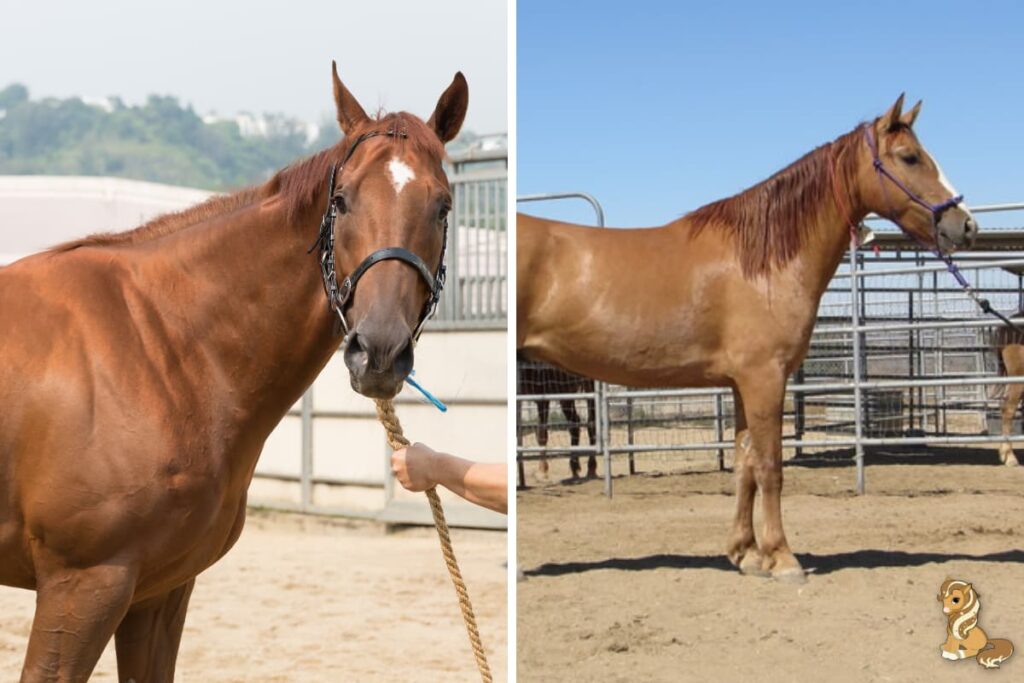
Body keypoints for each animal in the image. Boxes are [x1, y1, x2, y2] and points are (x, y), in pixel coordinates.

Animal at [0, 61, 468, 679]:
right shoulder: (81, 587)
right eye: (341, 201)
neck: (157, 345)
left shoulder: (159, 592)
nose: (380, 352)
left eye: (442, 206)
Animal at [520, 94, 974, 581]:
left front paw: (745, 553)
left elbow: (745, 466)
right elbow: (772, 465)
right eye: (910, 157)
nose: (966, 225)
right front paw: (783, 558)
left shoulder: (742, 384)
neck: (761, 262)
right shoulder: (764, 378)